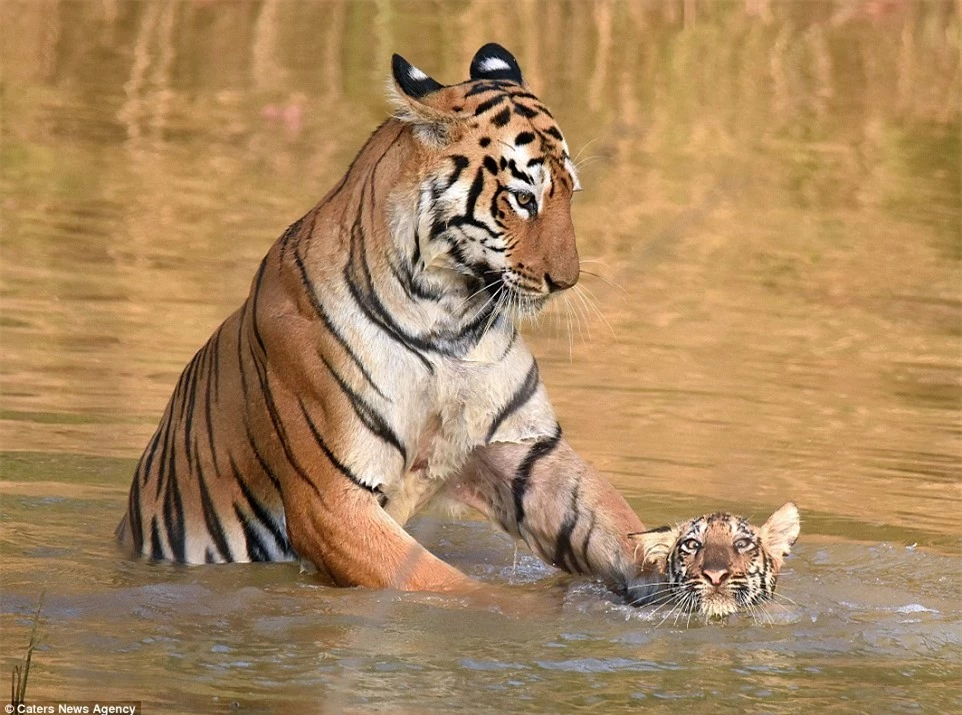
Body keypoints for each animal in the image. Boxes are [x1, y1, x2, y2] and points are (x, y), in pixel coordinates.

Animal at [116, 42, 648, 596]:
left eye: (570, 194)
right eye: (524, 198)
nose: (565, 280)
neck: (449, 320)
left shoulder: (524, 449)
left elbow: (610, 522)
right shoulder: (332, 502)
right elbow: (454, 589)